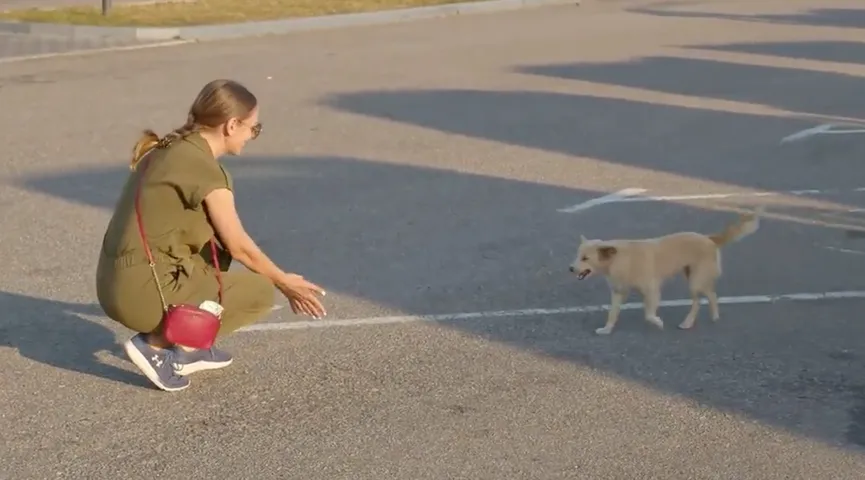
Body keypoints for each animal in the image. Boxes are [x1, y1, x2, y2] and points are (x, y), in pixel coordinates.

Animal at [568, 208, 764, 336]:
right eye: (577, 255)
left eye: (585, 258)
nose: (570, 268)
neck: (618, 258)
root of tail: (709, 238)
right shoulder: (618, 292)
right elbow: (612, 313)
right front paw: (607, 329)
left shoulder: (652, 290)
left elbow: (648, 314)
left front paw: (658, 322)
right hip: (693, 276)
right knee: (710, 294)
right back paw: (710, 316)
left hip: (695, 281)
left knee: (699, 300)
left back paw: (688, 322)